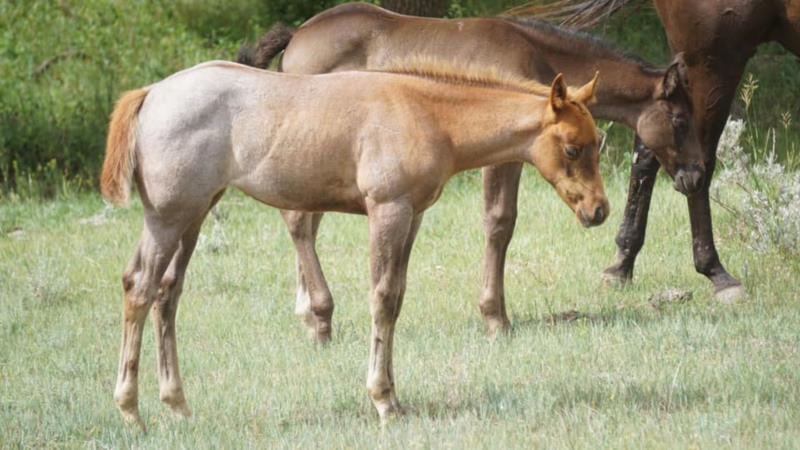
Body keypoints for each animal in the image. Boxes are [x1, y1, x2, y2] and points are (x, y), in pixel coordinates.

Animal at [100, 59, 604, 426]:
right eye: (573, 147)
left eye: (598, 141)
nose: (599, 210)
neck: (428, 114)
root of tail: (151, 93)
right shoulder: (388, 210)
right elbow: (381, 301)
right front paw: (382, 400)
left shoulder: (412, 217)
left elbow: (396, 299)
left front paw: (394, 396)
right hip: (167, 217)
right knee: (139, 287)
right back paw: (130, 411)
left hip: (195, 214)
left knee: (167, 294)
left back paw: (178, 405)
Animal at [239, 2, 708, 342]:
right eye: (680, 120)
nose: (696, 174)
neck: (535, 57)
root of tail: (296, 37)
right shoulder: (503, 157)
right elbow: (500, 224)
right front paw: (496, 317)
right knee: (300, 220)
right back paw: (318, 316)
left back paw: (308, 313)